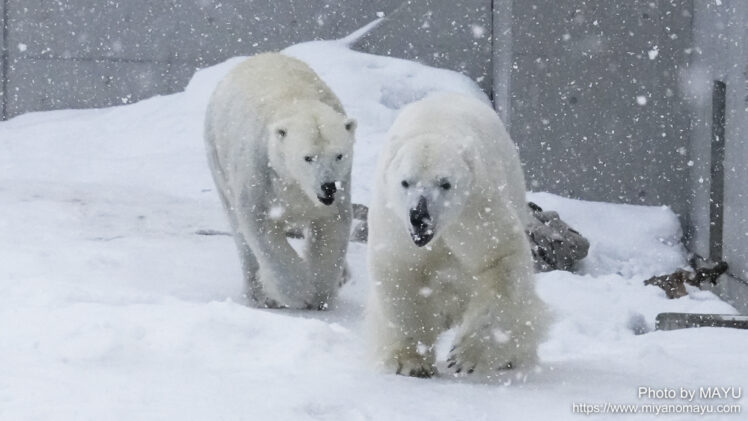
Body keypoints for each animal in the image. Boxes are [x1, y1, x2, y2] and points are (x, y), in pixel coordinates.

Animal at [204, 53, 356, 310]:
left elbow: (331, 225)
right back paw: (257, 293)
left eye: (339, 155)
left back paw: (344, 275)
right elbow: (260, 226)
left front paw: (321, 292)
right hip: (217, 157)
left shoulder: (342, 185)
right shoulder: (259, 171)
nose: (328, 187)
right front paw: (297, 292)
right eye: (308, 157)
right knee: (240, 234)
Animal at [367, 92, 547, 377]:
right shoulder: (394, 220)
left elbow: (498, 258)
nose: (419, 216)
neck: (433, 123)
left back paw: (511, 357)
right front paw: (411, 361)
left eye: (445, 183)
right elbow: (400, 270)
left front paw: (464, 355)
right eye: (406, 181)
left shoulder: (475, 207)